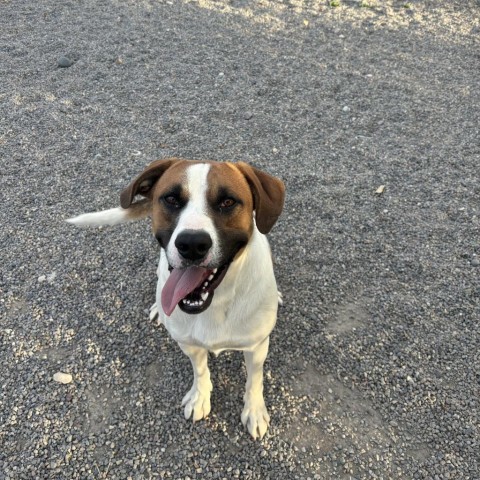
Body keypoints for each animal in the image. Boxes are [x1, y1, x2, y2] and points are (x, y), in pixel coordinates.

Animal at [67, 158, 284, 438]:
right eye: (171, 199)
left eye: (228, 202)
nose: (192, 243)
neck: (215, 302)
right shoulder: (188, 342)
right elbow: (200, 370)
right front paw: (200, 397)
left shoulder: (257, 347)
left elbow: (254, 380)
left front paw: (254, 410)